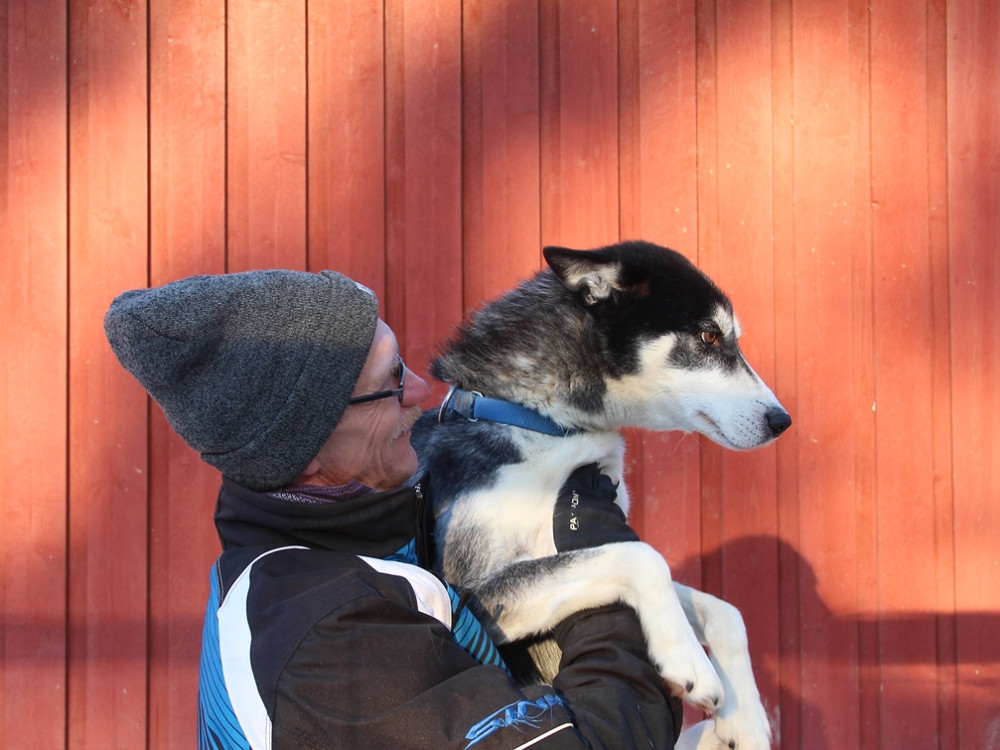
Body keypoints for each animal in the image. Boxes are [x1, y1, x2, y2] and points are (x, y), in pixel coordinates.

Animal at [412, 242, 788, 750]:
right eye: (709, 336)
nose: (781, 420)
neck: (542, 422)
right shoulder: (471, 591)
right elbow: (645, 557)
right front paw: (689, 662)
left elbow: (724, 610)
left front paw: (745, 718)